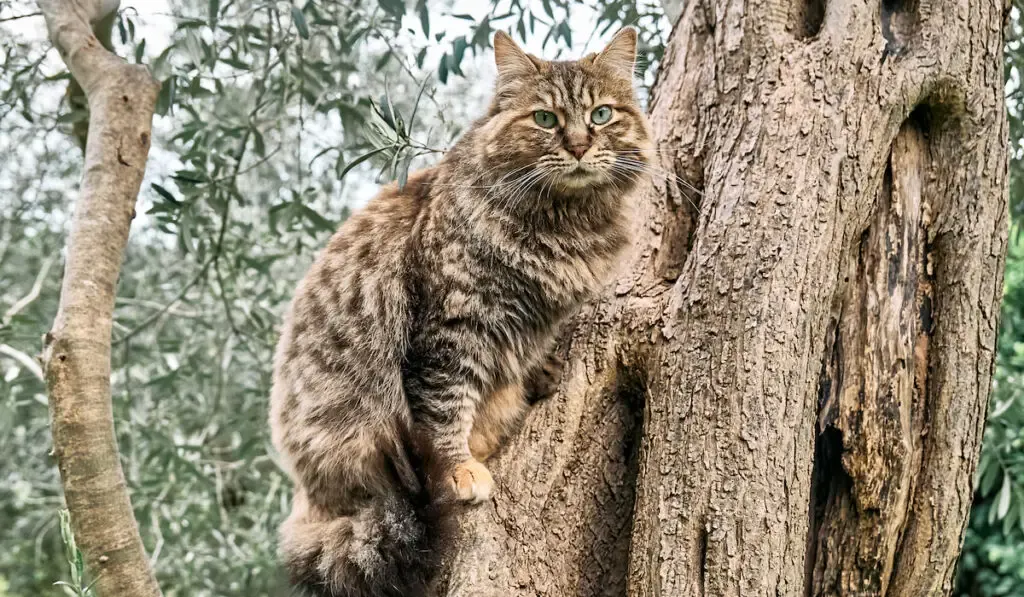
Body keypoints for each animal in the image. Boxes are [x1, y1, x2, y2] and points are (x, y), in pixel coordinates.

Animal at [270, 28, 655, 597]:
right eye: (546, 119)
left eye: (602, 114)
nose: (580, 145)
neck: (563, 225)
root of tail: (304, 499)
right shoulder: (450, 330)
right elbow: (444, 413)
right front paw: (460, 471)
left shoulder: (535, 318)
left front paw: (538, 370)